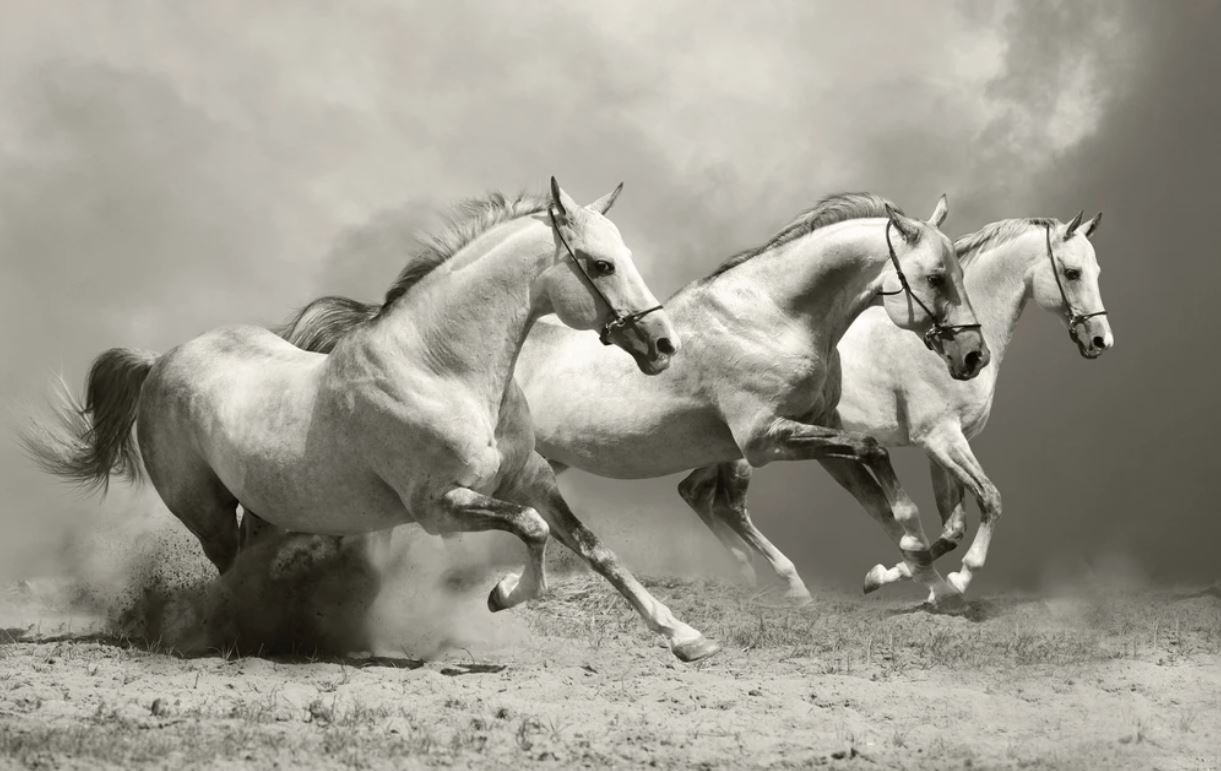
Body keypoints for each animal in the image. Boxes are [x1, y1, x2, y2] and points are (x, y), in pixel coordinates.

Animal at [24, 178, 724, 662]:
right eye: (601, 264)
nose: (663, 345)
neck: (442, 370)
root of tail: (160, 360)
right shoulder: (439, 506)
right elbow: (531, 531)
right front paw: (501, 596)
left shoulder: (533, 480)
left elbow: (596, 549)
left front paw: (687, 637)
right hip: (205, 510)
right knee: (230, 569)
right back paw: (253, 635)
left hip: (270, 508)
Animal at [278, 192, 990, 604]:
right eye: (935, 277)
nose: (973, 356)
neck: (774, 315)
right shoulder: (766, 439)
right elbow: (877, 460)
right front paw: (917, 570)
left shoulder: (811, 433)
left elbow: (887, 496)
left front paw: (916, 574)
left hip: (537, 464)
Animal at [682, 212, 1112, 600]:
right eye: (1072, 272)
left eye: (1096, 270)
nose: (1100, 340)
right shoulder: (941, 438)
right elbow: (989, 499)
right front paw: (956, 579)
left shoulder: (941, 447)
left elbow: (952, 527)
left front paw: (888, 575)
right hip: (749, 451)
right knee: (730, 506)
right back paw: (787, 581)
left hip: (720, 450)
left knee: (695, 493)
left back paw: (747, 573)